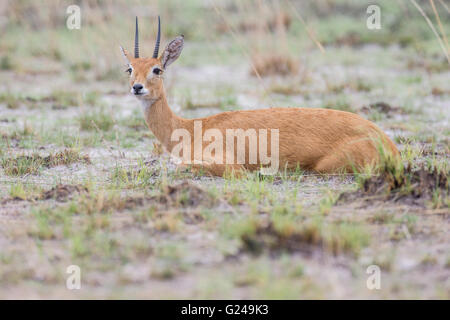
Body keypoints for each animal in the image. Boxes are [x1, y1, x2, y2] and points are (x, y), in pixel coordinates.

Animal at [118, 16, 398, 178]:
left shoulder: (229, 165)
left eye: (157, 69)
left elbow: (181, 165)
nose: (137, 88)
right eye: (130, 69)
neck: (190, 128)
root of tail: (386, 142)